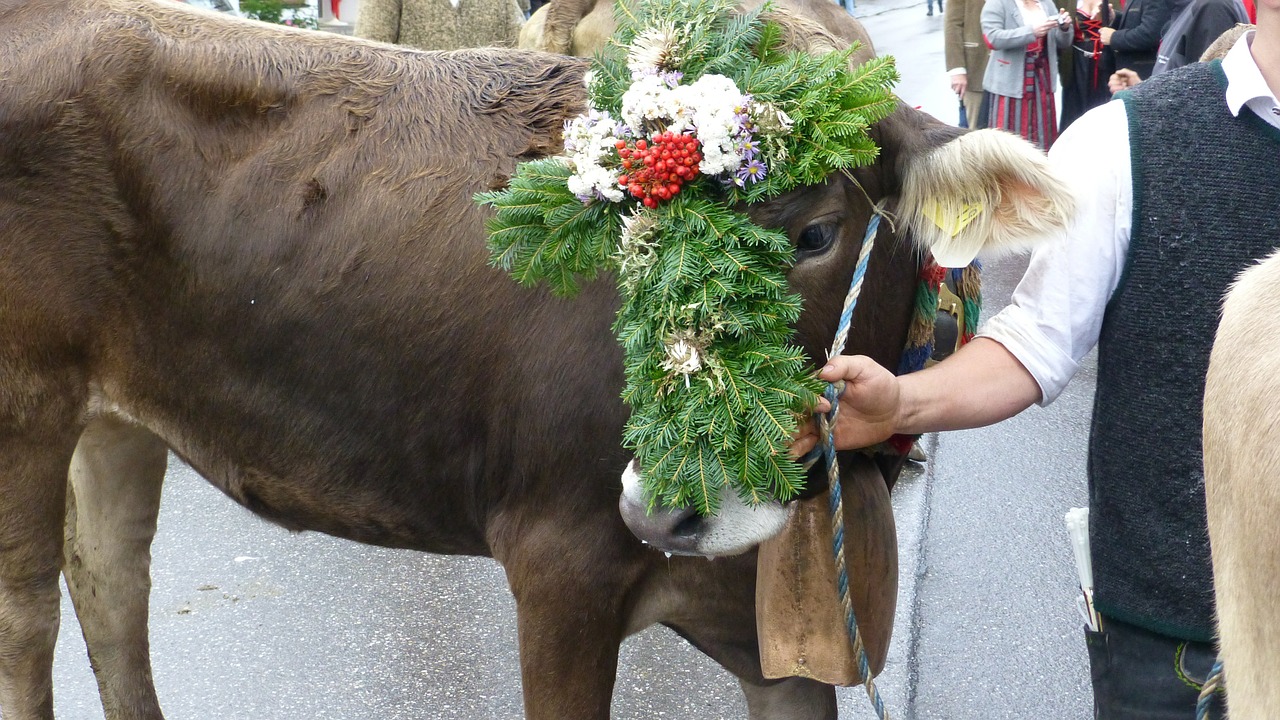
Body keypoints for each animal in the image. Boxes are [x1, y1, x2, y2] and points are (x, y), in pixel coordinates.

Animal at [0, 1, 1070, 717]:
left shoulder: (778, 648)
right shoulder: (560, 569)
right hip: (26, 407)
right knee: (29, 625)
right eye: (628, 234)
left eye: (815, 233)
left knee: (110, 586)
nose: (665, 505)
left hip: (119, 414)